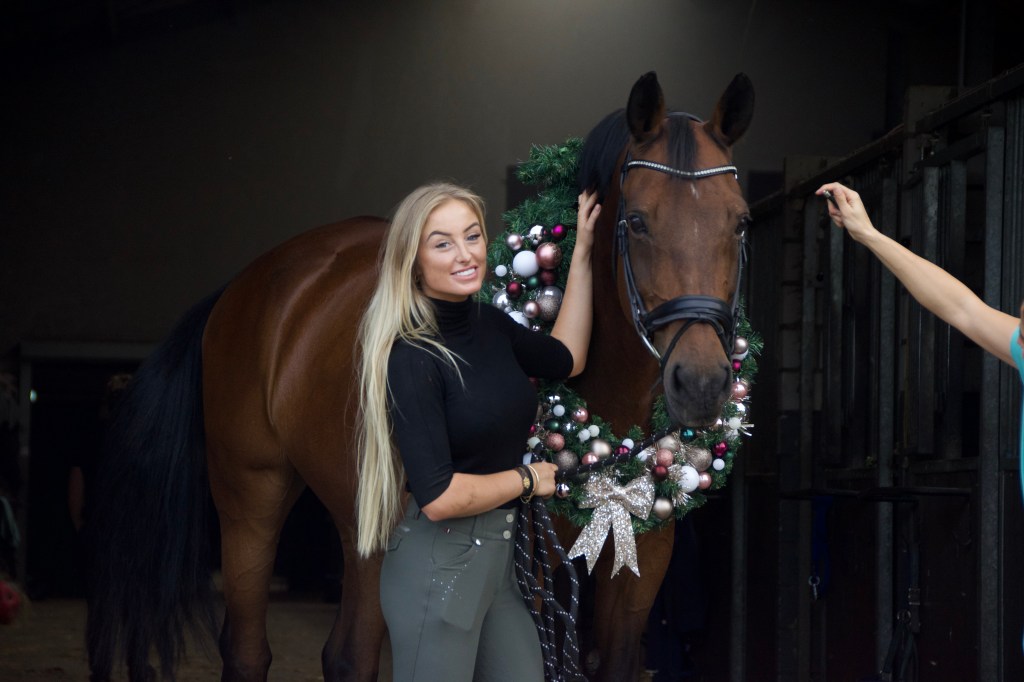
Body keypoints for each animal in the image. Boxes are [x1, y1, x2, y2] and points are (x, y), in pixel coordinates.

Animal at [86, 70, 754, 682]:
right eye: (637, 221)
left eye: (741, 222)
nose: (702, 384)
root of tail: (247, 283)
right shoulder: (534, 576)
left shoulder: (641, 570)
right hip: (257, 499)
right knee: (265, 650)